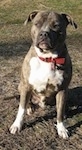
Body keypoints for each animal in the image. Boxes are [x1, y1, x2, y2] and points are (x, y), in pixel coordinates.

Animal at [9, 10, 77, 139]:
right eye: (37, 24)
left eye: (56, 26)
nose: (44, 34)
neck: (47, 58)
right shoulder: (26, 86)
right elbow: (21, 109)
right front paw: (17, 125)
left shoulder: (62, 89)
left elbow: (59, 112)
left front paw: (62, 129)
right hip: (21, 86)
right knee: (25, 101)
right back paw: (30, 107)